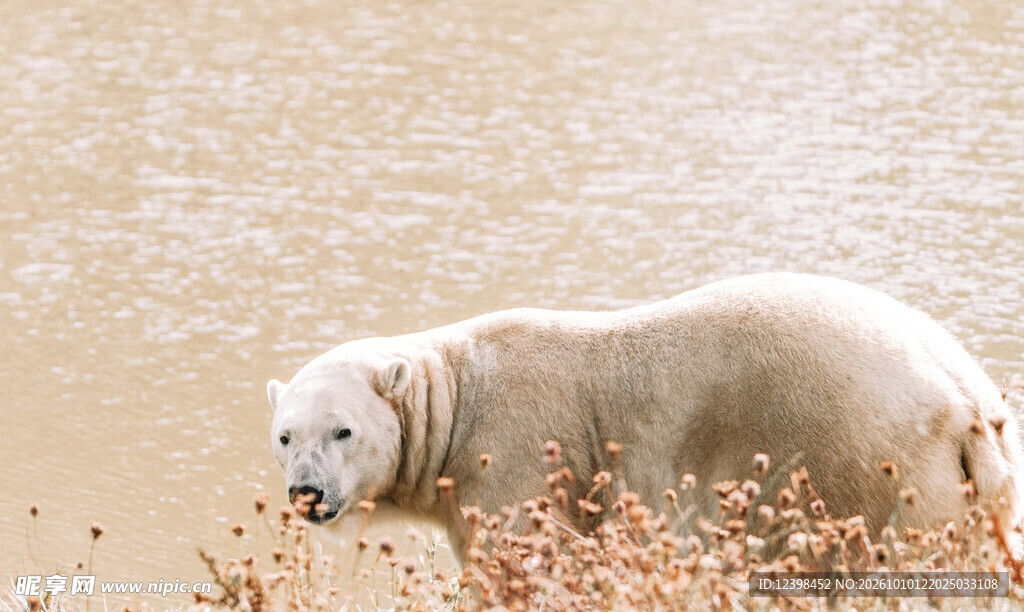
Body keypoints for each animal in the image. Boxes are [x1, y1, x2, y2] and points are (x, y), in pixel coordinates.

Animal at [266, 273, 1024, 560]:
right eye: (285, 436)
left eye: (343, 430)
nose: (306, 493)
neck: (455, 393)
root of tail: (966, 401)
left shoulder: (514, 457)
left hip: (863, 462)